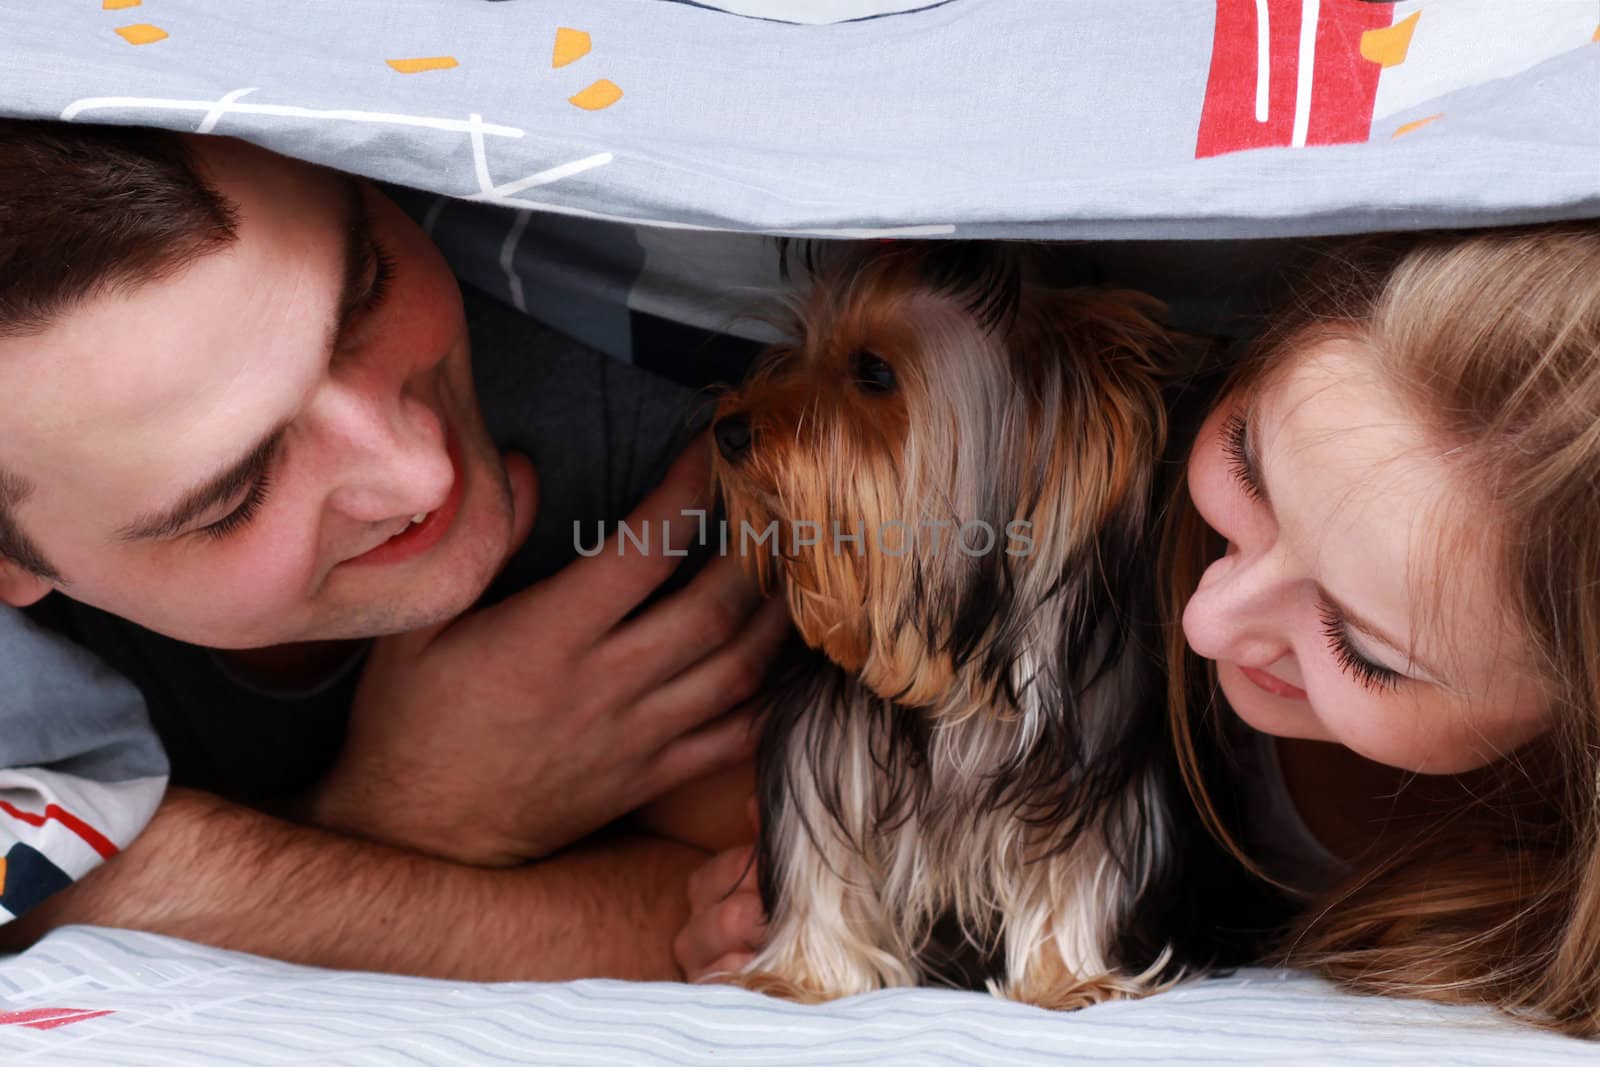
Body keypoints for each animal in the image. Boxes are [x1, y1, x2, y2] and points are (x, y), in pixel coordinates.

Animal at [713, 241, 1203, 1011]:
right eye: (799, 346)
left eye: (874, 372)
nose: (728, 430)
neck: (960, 669)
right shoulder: (827, 744)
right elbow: (821, 857)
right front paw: (804, 975)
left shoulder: (1083, 767)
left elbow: (1071, 872)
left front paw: (1067, 978)